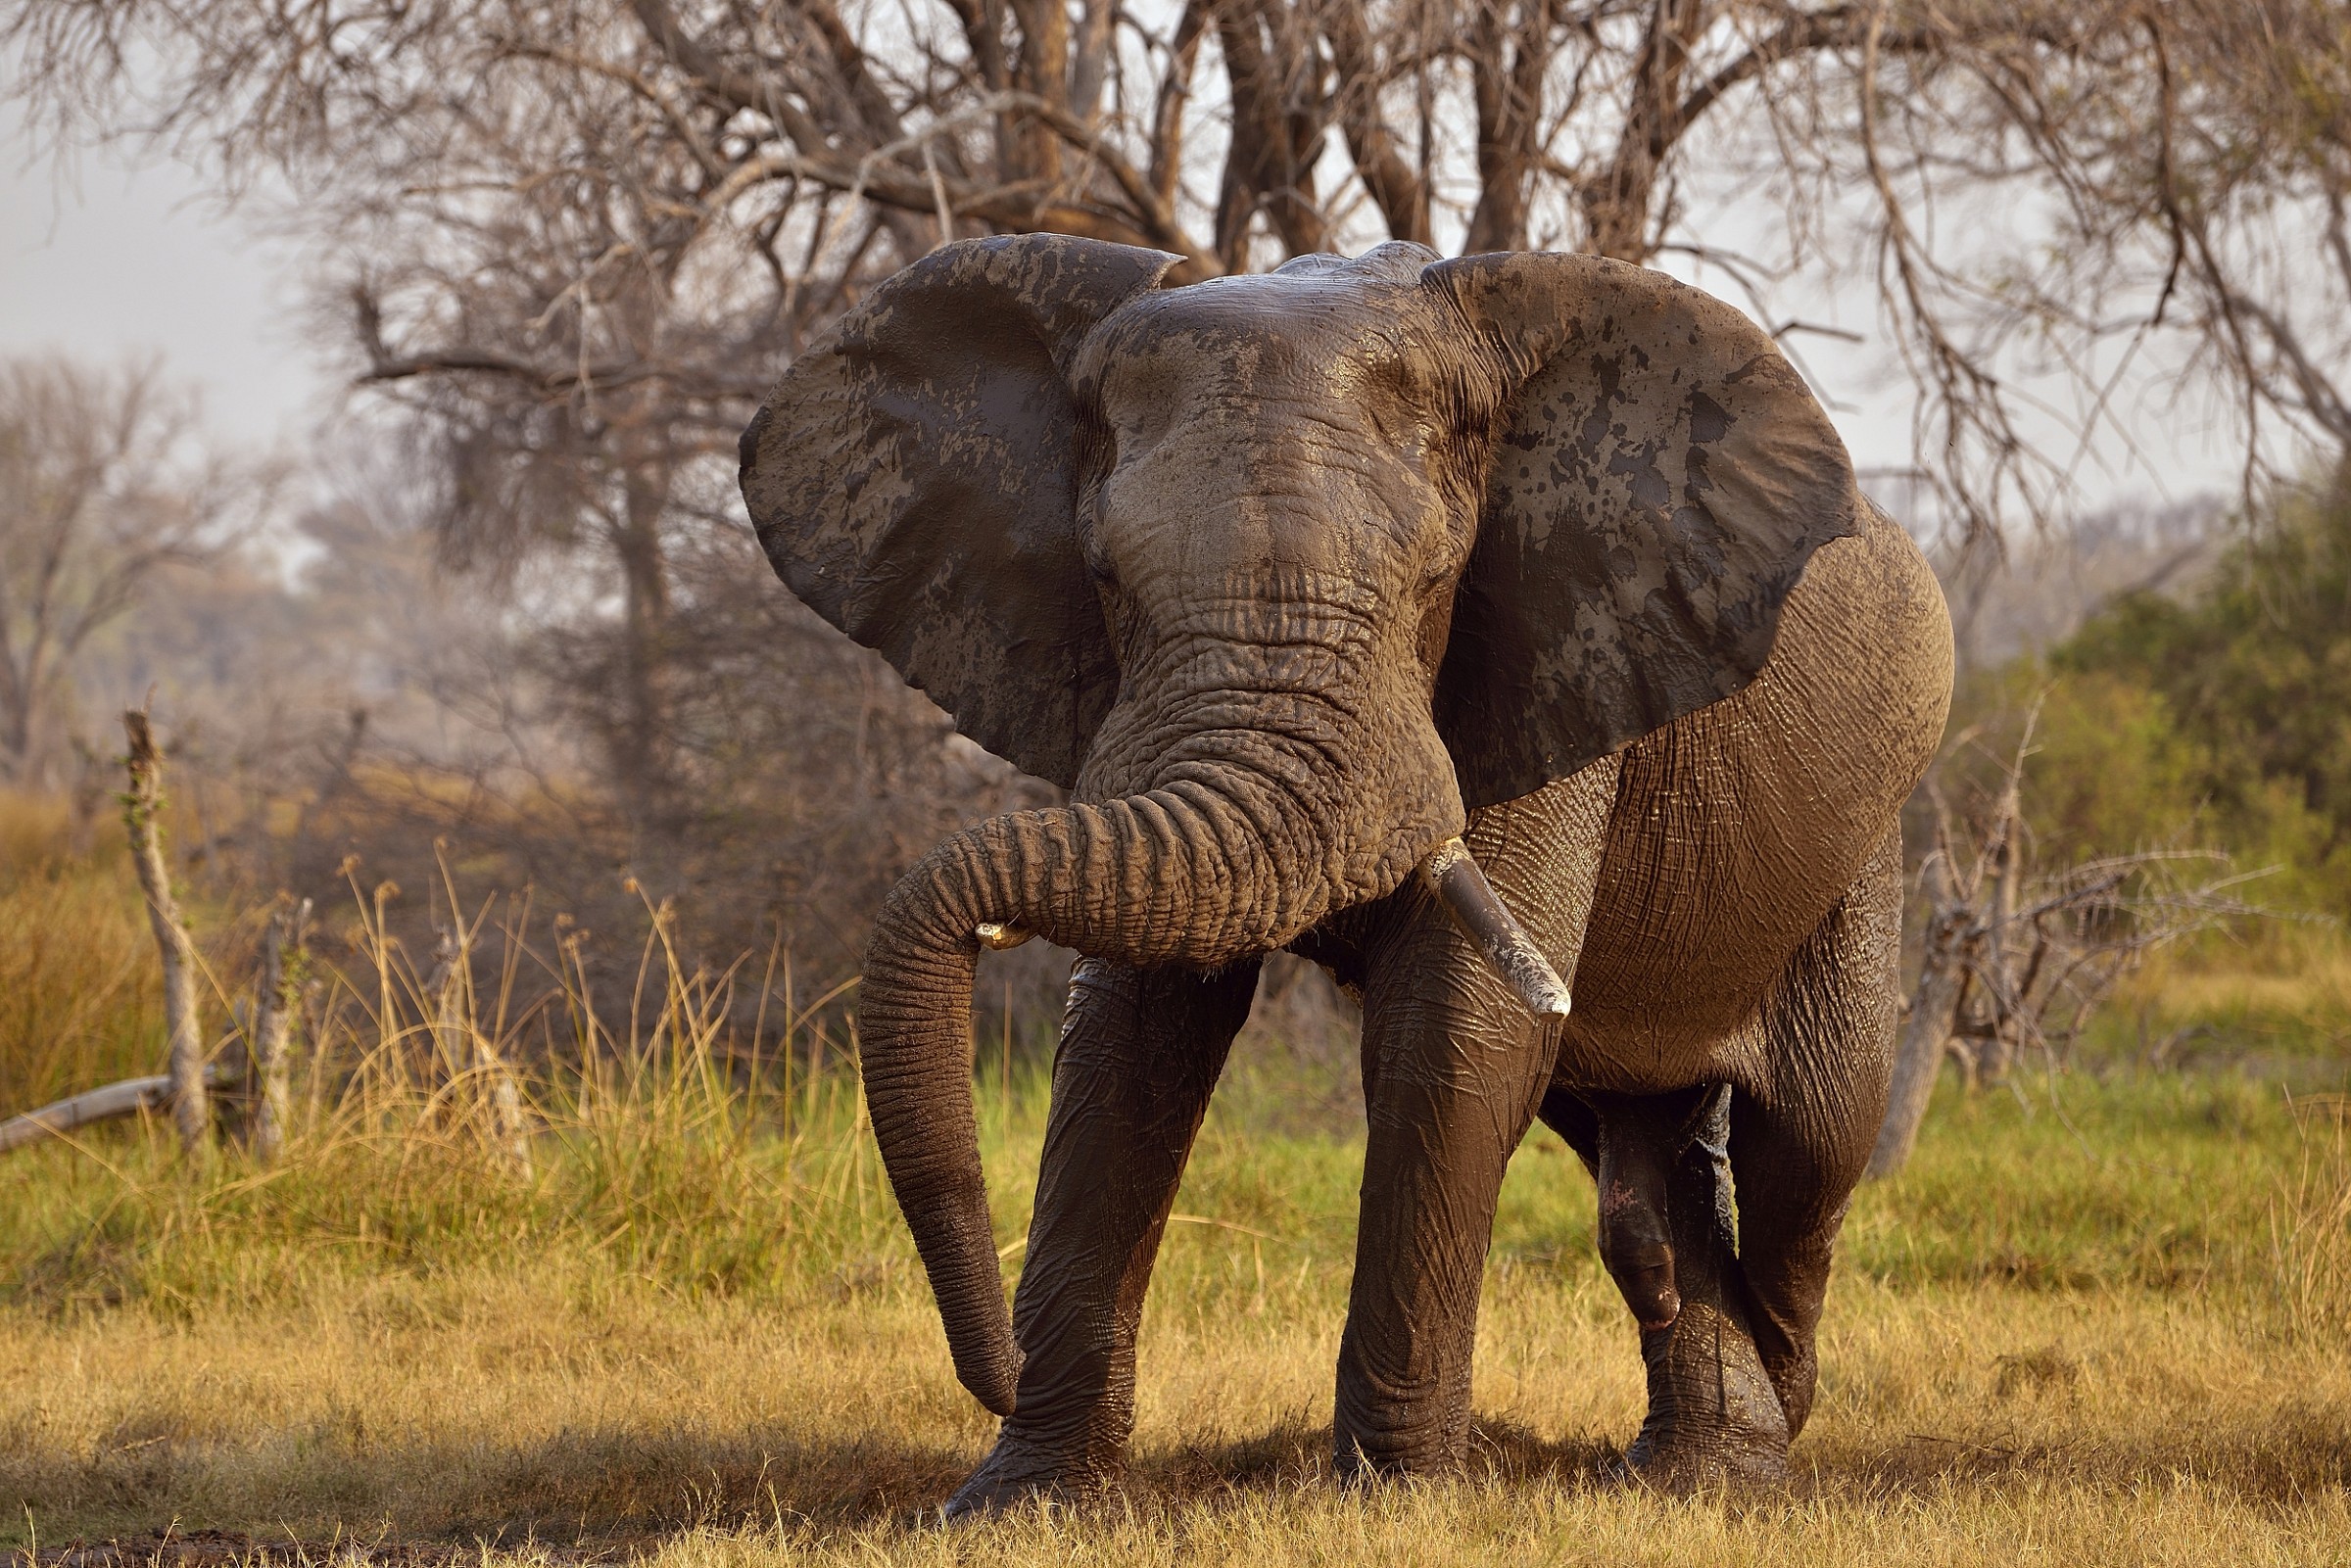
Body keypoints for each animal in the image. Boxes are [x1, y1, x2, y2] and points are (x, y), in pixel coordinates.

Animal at [738, 234, 1953, 1511]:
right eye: (1107, 581)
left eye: (1431, 582)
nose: (992, 1370)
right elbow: (1132, 1033)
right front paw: (1023, 1498)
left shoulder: (1549, 648)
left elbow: (1452, 1033)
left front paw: (1402, 1498)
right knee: (1626, 1122)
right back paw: (1701, 1457)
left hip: (1865, 844)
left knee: (1811, 1146)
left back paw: (1766, 1407)